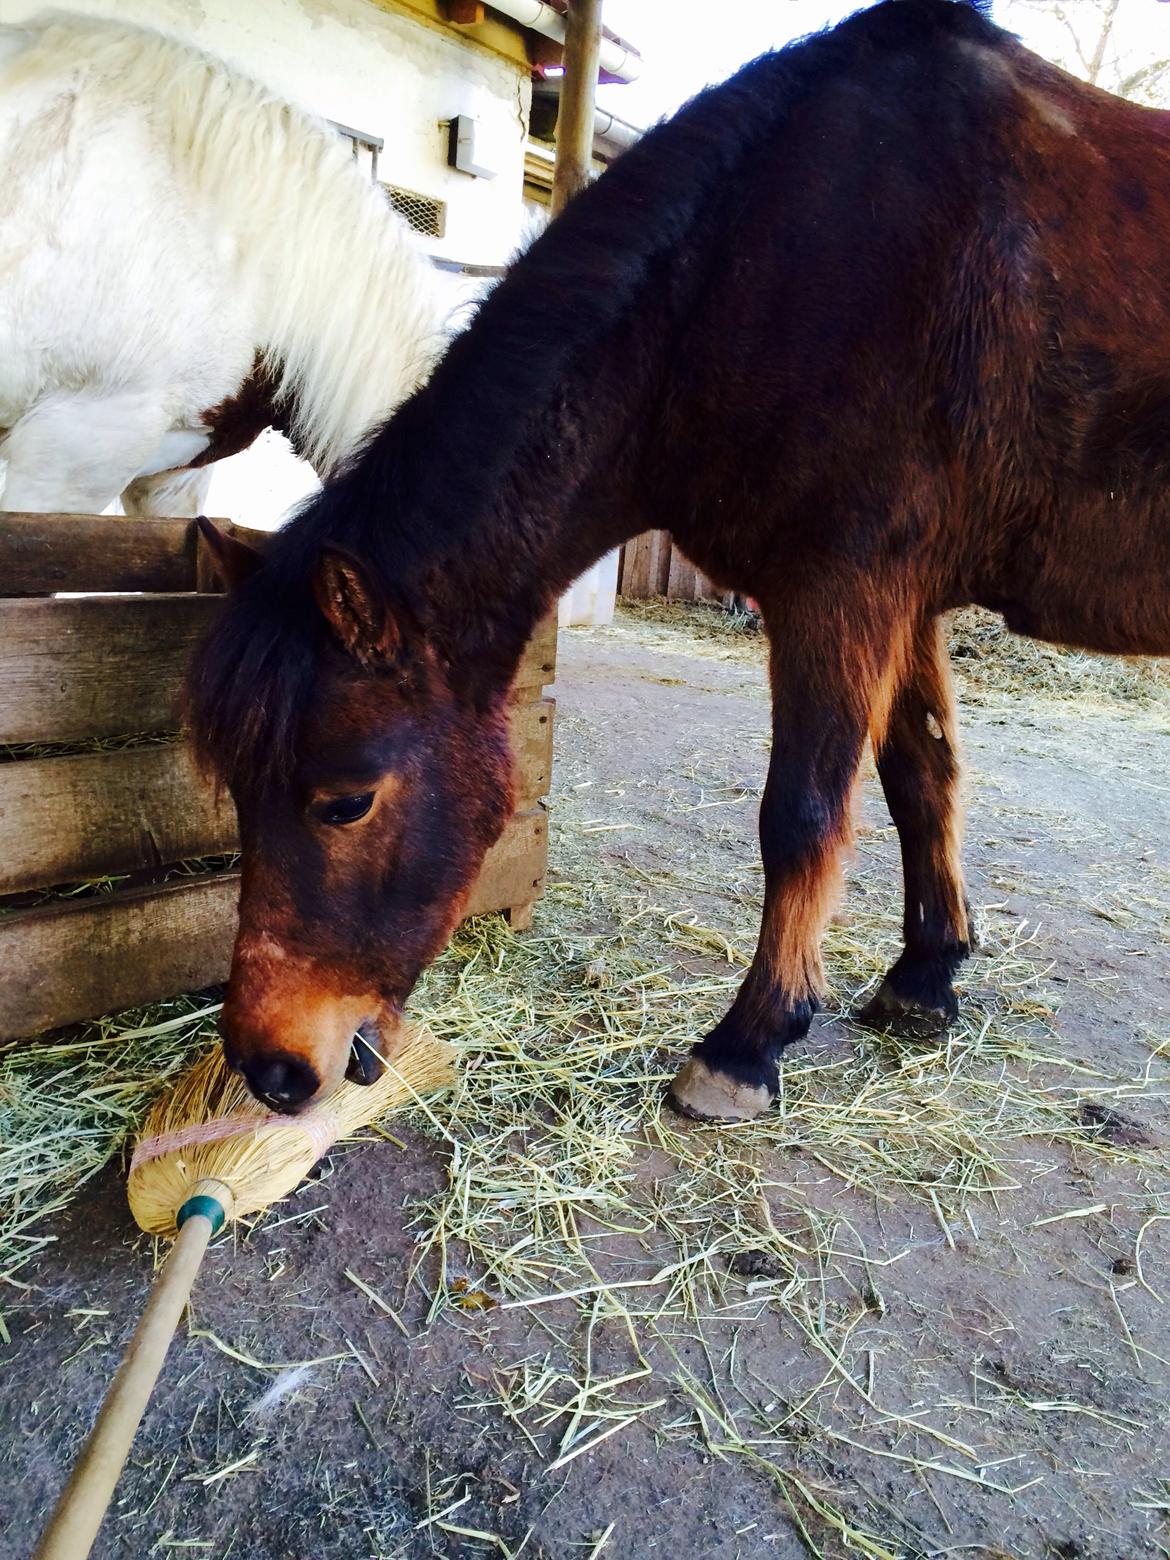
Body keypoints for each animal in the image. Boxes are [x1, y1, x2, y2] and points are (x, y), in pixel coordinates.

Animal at [187, 0, 1170, 1123]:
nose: (269, 1069)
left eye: (344, 801)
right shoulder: (909, 597)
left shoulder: (840, 588)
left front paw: (749, 1043)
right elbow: (921, 777)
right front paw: (925, 980)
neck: (751, 261)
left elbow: (802, 814)